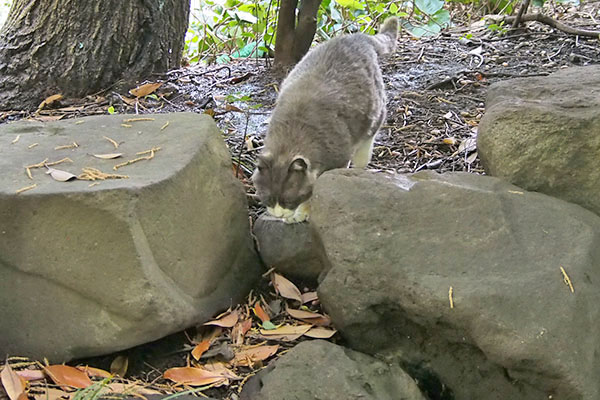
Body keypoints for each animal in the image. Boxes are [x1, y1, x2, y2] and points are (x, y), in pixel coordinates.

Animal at [253, 17, 398, 223]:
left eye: (289, 200)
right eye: (269, 199)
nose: (279, 214)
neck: (292, 135)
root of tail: (356, 36)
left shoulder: (338, 159)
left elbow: (316, 191)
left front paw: (303, 212)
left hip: (374, 114)